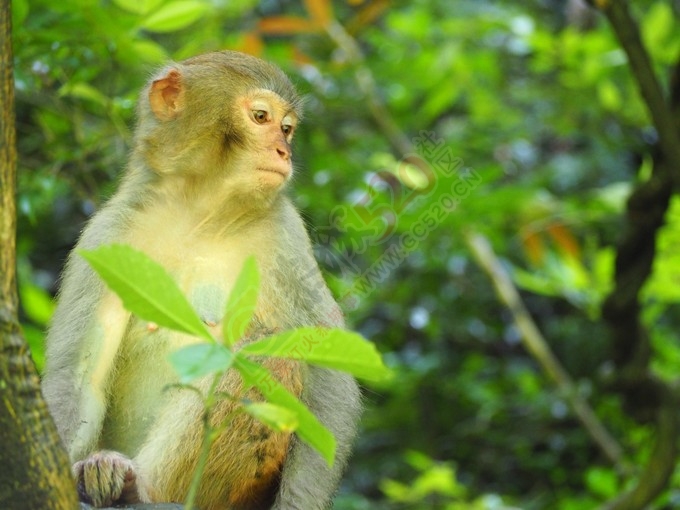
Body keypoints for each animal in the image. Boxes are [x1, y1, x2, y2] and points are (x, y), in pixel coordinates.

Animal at [40, 48, 364, 510]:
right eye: (261, 117)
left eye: (287, 129)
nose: (283, 151)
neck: (199, 212)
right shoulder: (106, 236)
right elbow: (80, 376)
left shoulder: (286, 235)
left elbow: (329, 371)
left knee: (267, 352)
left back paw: (143, 487)